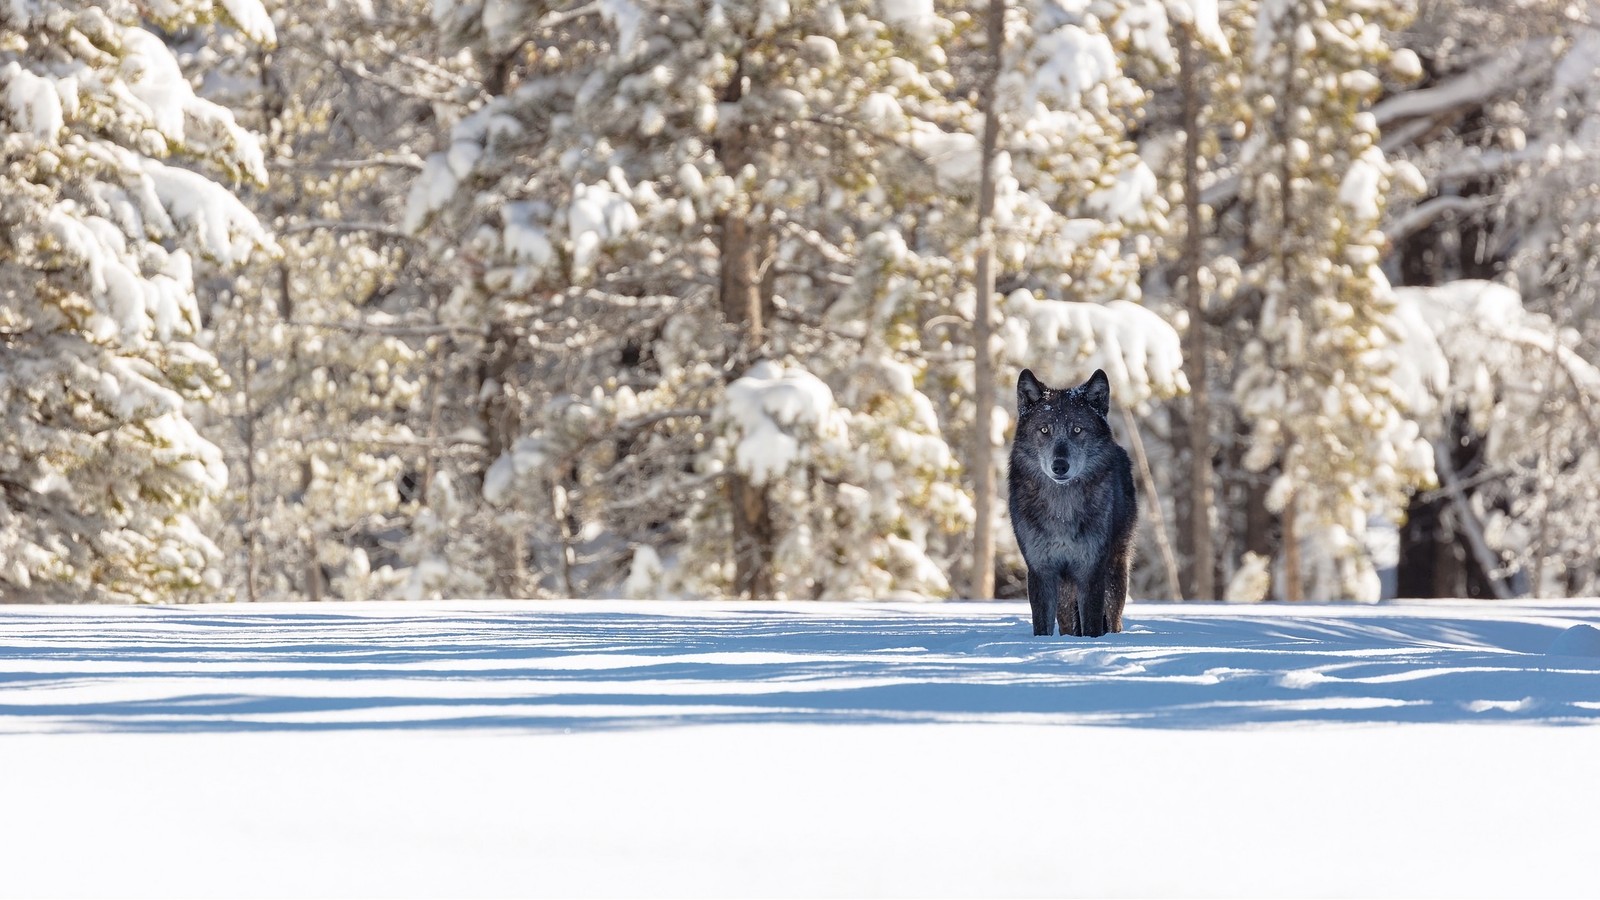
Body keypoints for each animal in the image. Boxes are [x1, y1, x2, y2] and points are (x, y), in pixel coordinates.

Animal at [1004, 368, 1132, 634]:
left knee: (1114, 619)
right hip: (1064, 590)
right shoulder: (1041, 571)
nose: (1060, 466)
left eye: (1077, 430)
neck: (1062, 510)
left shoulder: (1091, 571)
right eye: (1044, 430)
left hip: (1115, 571)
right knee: (1067, 625)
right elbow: (1042, 628)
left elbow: (1092, 627)